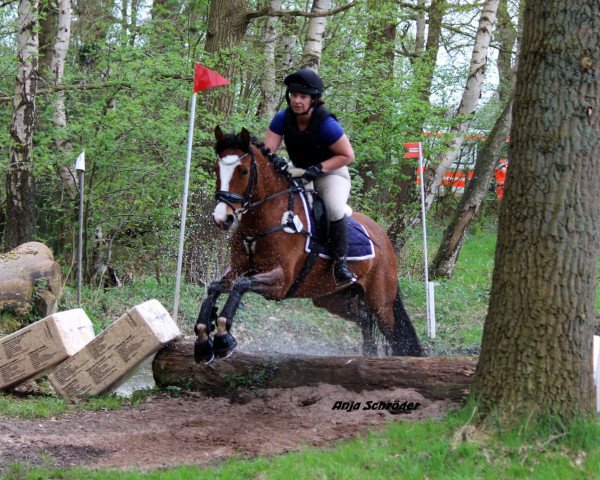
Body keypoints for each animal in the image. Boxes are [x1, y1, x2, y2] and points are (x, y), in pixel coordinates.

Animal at [192, 125, 422, 362]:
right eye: (217, 169)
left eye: (244, 171)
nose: (222, 218)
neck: (265, 218)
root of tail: (384, 239)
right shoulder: (239, 268)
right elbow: (215, 286)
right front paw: (203, 340)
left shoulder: (281, 282)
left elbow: (241, 284)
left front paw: (223, 337)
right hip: (333, 298)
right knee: (364, 319)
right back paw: (368, 355)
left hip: (380, 301)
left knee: (392, 333)